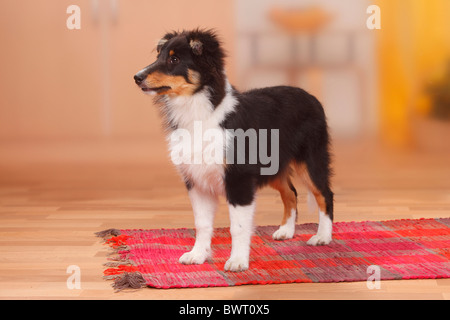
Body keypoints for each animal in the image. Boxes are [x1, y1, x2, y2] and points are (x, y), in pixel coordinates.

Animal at [134, 28, 334, 272]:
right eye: (159, 56)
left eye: (174, 60)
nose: (137, 77)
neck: (199, 110)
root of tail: (311, 96)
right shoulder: (197, 181)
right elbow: (201, 223)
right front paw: (197, 255)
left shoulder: (239, 179)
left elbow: (237, 226)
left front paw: (237, 261)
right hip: (274, 167)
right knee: (291, 193)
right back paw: (286, 231)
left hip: (311, 160)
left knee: (325, 194)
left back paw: (322, 237)